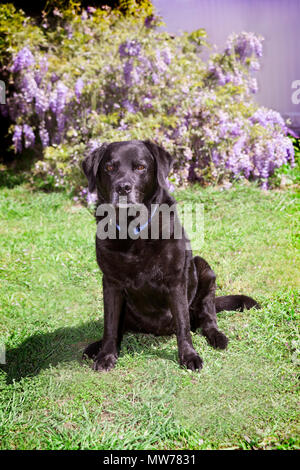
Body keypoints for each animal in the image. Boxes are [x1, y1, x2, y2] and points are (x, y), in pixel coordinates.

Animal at [81, 140, 258, 370]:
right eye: (109, 168)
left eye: (140, 167)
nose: (123, 187)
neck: (133, 232)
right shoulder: (111, 283)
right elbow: (110, 325)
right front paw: (106, 356)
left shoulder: (176, 281)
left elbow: (183, 325)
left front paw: (189, 356)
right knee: (119, 328)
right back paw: (96, 346)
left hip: (204, 269)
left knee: (207, 316)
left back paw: (216, 336)